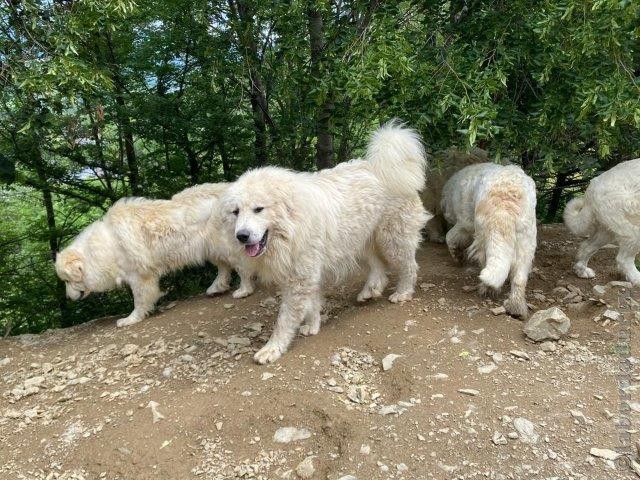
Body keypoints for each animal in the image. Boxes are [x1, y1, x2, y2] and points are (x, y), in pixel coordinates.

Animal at [55, 182, 254, 328]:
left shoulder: (139, 276)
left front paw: (131, 319)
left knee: (241, 267)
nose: (67, 298)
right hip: (210, 248)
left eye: (67, 280)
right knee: (224, 267)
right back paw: (216, 287)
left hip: (226, 246)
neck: (108, 244)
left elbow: (140, 299)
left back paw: (244, 290)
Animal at [220, 121, 430, 364]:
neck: (292, 224)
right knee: (379, 266)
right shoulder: (306, 273)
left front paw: (272, 348)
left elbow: (284, 320)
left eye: (258, 209)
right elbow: (312, 303)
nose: (241, 236)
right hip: (361, 240)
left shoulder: (300, 277)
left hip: (392, 239)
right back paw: (370, 290)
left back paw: (403, 293)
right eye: (236, 212)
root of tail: (381, 165)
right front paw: (312, 326)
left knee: (409, 266)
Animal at [440, 162, 536, 318]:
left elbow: (450, 237)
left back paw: (487, 289)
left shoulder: (465, 224)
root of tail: (505, 203)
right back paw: (516, 306)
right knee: (519, 278)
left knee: (486, 262)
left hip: (483, 238)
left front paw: (457, 257)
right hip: (526, 242)